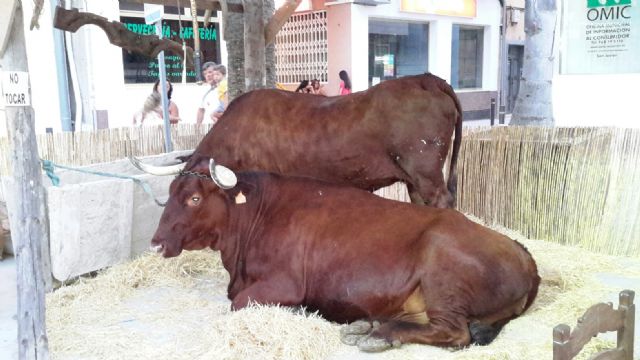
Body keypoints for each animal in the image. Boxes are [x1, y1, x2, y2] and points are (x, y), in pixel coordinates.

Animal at [140, 155, 540, 352]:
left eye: (194, 198)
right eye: (170, 193)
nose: (156, 242)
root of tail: (523, 253)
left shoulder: (283, 284)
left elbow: (239, 305)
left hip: (443, 276)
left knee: (455, 333)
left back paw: (377, 336)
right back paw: (369, 325)